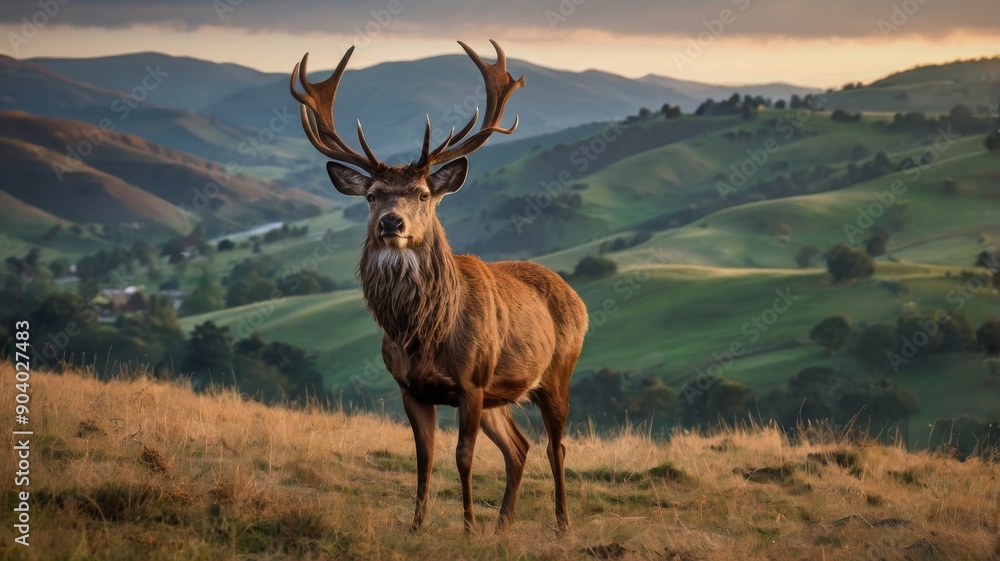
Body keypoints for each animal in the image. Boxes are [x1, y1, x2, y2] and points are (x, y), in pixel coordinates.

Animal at [290, 40, 587, 534]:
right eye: (371, 195)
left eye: (424, 194)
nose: (393, 222)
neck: (423, 333)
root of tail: (577, 299)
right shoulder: (411, 388)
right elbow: (424, 459)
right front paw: (417, 526)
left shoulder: (471, 383)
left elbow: (463, 457)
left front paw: (467, 528)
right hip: (499, 396)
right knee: (519, 447)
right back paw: (502, 526)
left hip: (555, 373)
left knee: (555, 446)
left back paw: (561, 524)